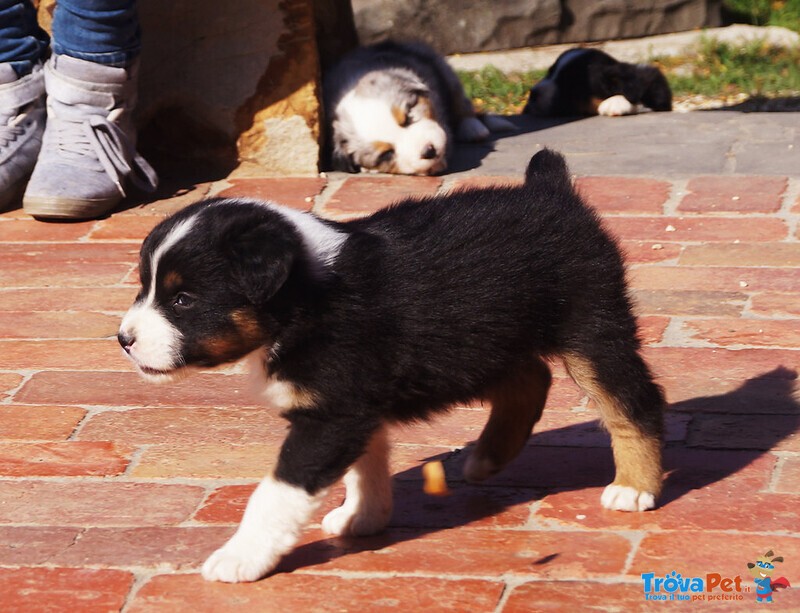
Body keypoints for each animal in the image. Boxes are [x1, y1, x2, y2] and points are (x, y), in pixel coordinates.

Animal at [119, 149, 664, 584]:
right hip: (481, 339)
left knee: (633, 403)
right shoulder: (359, 407)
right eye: (146, 286)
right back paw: (489, 457)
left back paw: (634, 488)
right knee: (530, 378)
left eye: (183, 299)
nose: (124, 340)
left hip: (591, 326)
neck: (303, 301)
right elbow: (367, 465)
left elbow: (277, 492)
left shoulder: (332, 414)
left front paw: (240, 558)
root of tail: (550, 189)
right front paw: (363, 517)